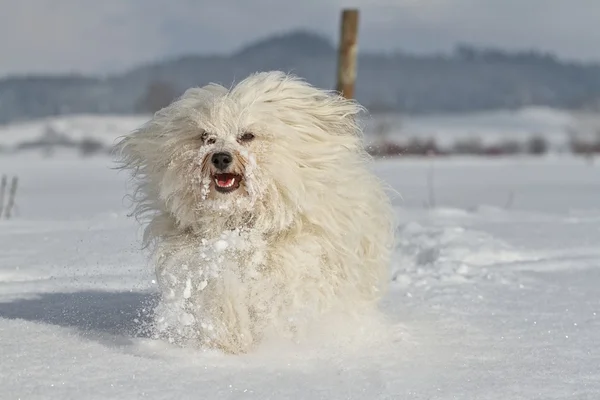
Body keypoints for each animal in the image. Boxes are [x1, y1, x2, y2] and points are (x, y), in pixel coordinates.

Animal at [118, 71, 398, 354]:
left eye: (247, 136)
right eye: (205, 136)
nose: (220, 157)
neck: (239, 221)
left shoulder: (298, 260)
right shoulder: (200, 259)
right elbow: (220, 291)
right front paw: (230, 338)